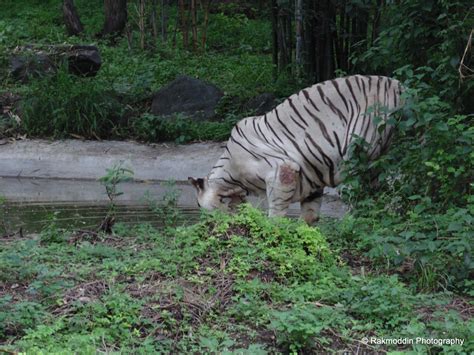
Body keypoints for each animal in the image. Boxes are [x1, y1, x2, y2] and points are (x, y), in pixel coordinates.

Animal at [189, 74, 404, 224]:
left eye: (199, 204)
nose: (205, 220)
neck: (232, 180)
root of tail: (400, 86)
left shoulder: (281, 171)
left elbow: (276, 213)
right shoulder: (313, 181)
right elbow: (309, 216)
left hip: (360, 151)